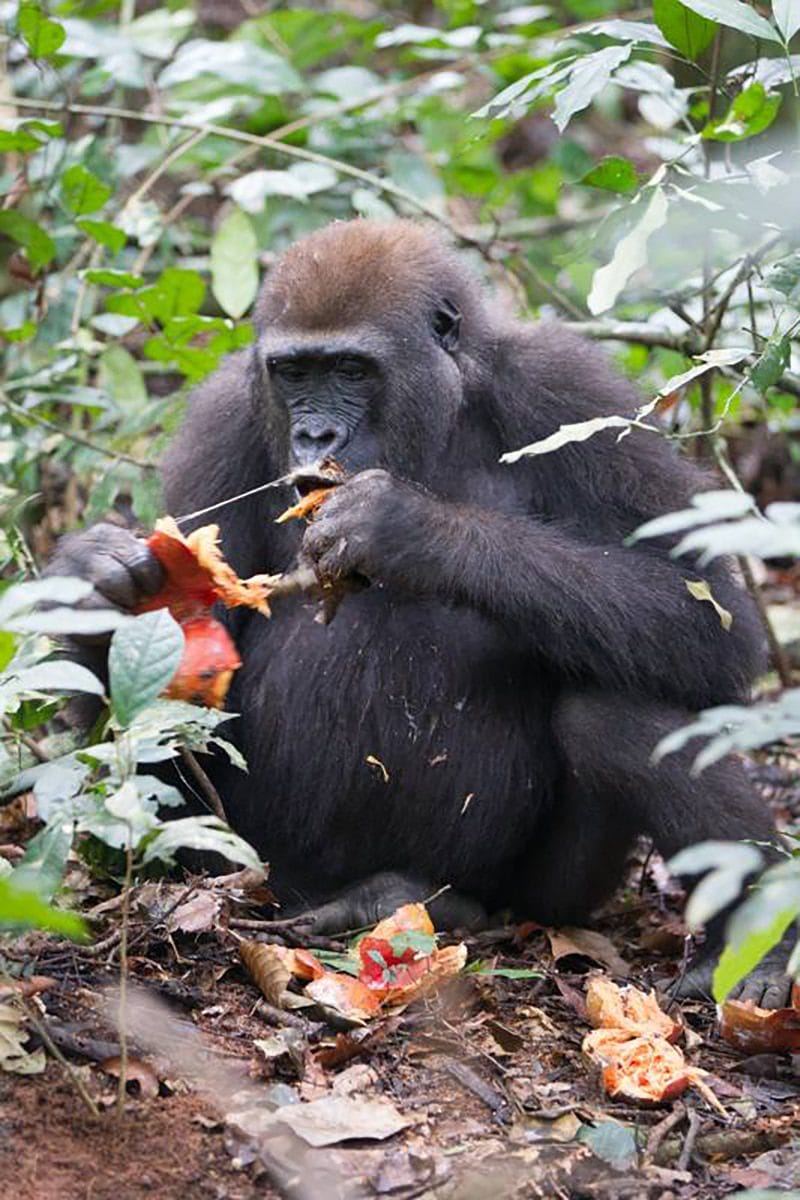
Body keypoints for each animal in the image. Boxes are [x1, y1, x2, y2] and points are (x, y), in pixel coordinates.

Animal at [51, 218, 796, 1003]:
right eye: (294, 374)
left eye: (352, 371)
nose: (315, 438)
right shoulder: (223, 416)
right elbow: (183, 707)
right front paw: (100, 587)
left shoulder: (569, 386)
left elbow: (711, 617)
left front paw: (408, 528)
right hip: (257, 872)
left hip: (540, 901)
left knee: (618, 712)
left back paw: (759, 942)